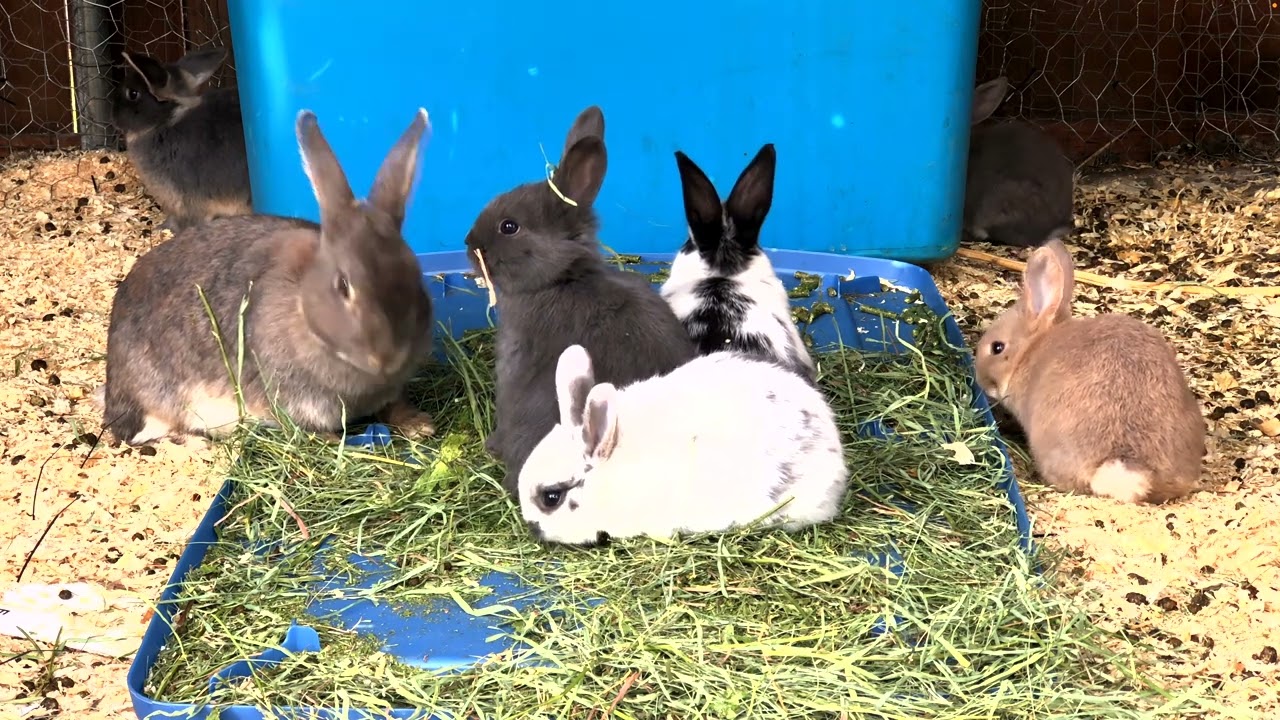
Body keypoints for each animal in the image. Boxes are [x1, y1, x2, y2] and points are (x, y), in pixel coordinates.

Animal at [99, 108, 436, 446]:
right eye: (343, 285)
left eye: (415, 274)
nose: (387, 358)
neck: (303, 309)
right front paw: (336, 441)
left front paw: (420, 425)